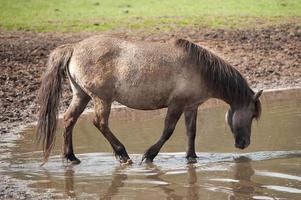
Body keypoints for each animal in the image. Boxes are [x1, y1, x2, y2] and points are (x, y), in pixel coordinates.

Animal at [35, 35, 262, 164]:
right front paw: (149, 155)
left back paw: (72, 158)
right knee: (100, 122)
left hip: (81, 96)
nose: (244, 144)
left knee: (69, 120)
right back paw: (123, 155)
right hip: (102, 99)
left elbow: (191, 132)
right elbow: (168, 131)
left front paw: (192, 158)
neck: (200, 70)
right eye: (252, 115)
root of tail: (74, 47)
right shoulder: (176, 104)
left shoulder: (191, 107)